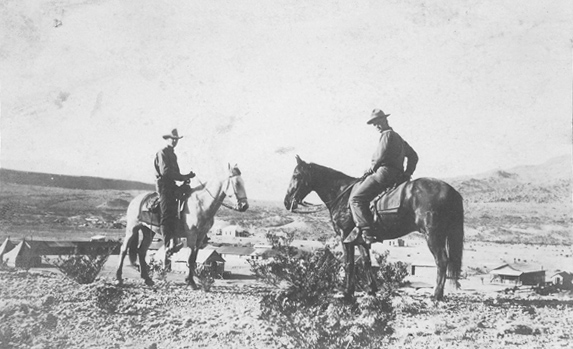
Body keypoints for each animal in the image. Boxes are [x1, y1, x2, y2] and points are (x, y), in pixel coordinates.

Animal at [116, 164, 248, 286]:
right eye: (237, 183)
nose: (244, 206)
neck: (201, 204)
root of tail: (136, 200)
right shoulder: (191, 235)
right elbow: (190, 258)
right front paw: (191, 282)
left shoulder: (200, 236)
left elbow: (194, 258)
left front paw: (191, 280)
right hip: (132, 228)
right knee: (123, 250)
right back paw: (118, 278)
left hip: (148, 231)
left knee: (142, 251)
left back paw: (147, 279)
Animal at [284, 155, 462, 300]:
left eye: (296, 175)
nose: (286, 202)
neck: (343, 195)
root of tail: (451, 190)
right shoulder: (361, 239)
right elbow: (366, 262)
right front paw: (372, 289)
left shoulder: (345, 237)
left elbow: (349, 264)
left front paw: (347, 292)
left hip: (433, 235)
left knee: (441, 261)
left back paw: (436, 295)